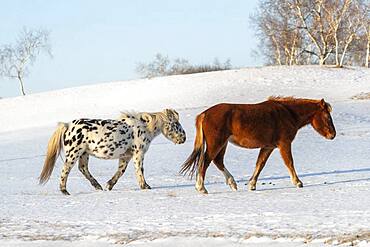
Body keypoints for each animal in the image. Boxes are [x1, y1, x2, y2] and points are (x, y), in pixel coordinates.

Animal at [39, 108, 186, 195]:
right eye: (176, 124)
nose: (183, 138)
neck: (144, 127)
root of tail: (68, 125)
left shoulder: (126, 156)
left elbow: (120, 171)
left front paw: (109, 185)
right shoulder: (138, 153)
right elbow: (139, 170)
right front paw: (145, 186)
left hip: (84, 154)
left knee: (83, 169)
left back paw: (97, 186)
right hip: (74, 153)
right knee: (66, 170)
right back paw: (64, 191)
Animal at [181, 96, 336, 193]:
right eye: (327, 117)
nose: (333, 135)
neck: (287, 113)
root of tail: (204, 114)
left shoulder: (268, 147)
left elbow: (260, 164)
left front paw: (252, 185)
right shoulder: (284, 144)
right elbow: (289, 163)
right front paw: (298, 182)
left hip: (222, 144)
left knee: (217, 161)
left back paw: (232, 183)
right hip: (216, 143)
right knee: (205, 162)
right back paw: (201, 188)